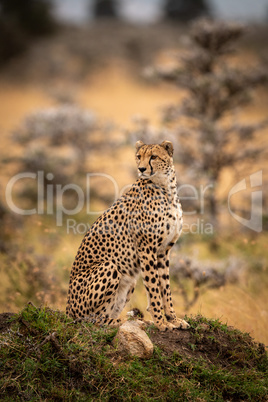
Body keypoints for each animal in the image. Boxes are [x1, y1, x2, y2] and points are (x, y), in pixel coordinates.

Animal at [66, 140, 189, 332]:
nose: (141, 168)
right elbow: (154, 288)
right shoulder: (147, 249)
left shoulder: (163, 251)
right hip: (109, 267)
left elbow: (165, 288)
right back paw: (129, 322)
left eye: (153, 157)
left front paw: (173, 319)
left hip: (129, 282)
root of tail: (67, 311)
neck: (165, 188)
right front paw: (161, 323)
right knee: (94, 320)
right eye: (139, 156)